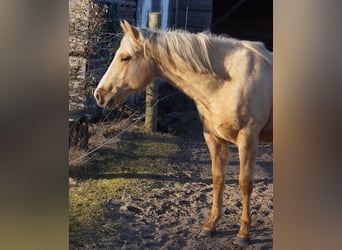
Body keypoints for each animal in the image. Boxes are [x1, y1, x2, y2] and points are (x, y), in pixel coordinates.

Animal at [93, 20, 272, 246]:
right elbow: (218, 179)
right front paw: (210, 226)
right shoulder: (214, 138)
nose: (99, 95)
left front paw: (243, 233)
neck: (230, 81)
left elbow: (245, 184)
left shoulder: (248, 140)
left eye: (125, 57)